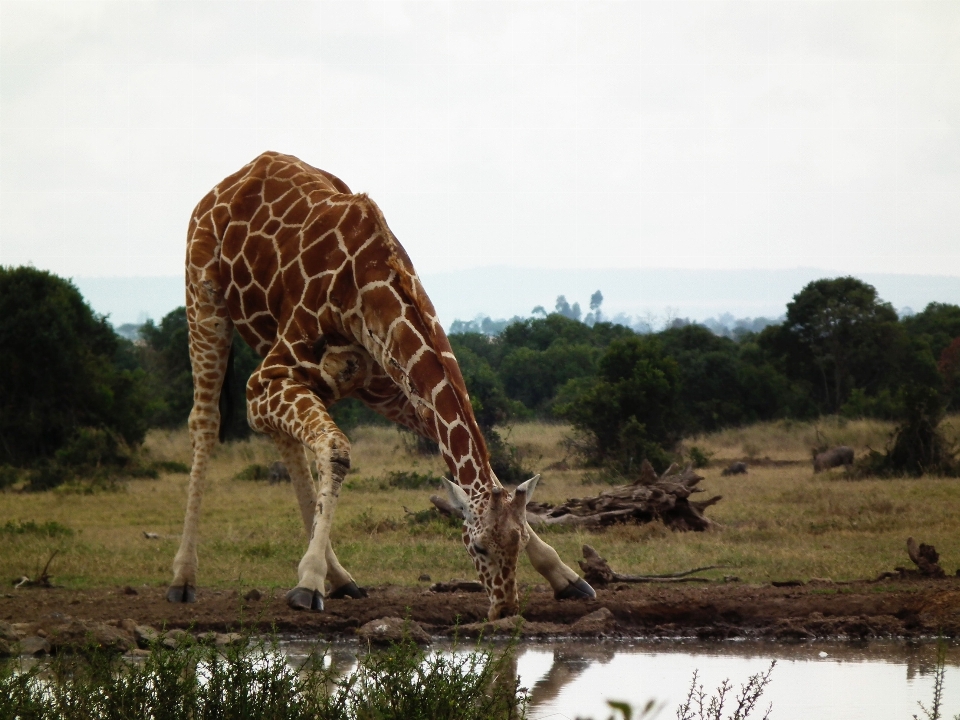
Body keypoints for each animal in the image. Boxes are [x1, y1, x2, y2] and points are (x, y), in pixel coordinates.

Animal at [169, 152, 596, 620]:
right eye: (479, 547)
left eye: (517, 543)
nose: (505, 608)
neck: (369, 287)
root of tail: (232, 180)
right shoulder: (264, 378)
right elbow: (337, 451)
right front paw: (308, 583)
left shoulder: (393, 388)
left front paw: (566, 575)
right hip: (203, 296)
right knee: (205, 421)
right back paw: (183, 579)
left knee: (284, 438)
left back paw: (341, 578)